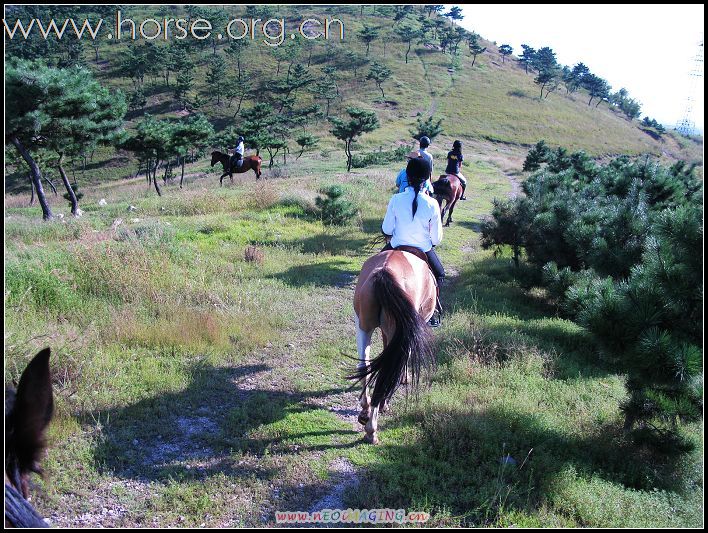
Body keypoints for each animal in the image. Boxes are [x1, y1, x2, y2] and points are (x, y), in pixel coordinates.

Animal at [348, 249, 436, 444]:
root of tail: (384, 272)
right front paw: (404, 378)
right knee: (387, 371)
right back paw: (372, 429)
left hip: (362, 325)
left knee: (364, 365)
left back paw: (365, 411)